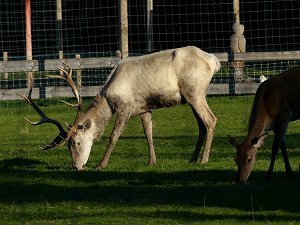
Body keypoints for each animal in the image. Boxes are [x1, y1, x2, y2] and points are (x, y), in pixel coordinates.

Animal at [19, 46, 220, 171]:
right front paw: (152, 162)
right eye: (68, 145)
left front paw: (101, 164)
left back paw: (204, 160)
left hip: (195, 91)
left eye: (76, 142)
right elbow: (148, 133)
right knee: (201, 125)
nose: (76, 166)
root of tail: (214, 61)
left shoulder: (125, 107)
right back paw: (192, 158)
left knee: (211, 120)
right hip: (190, 96)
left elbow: (114, 136)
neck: (109, 97)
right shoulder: (143, 108)